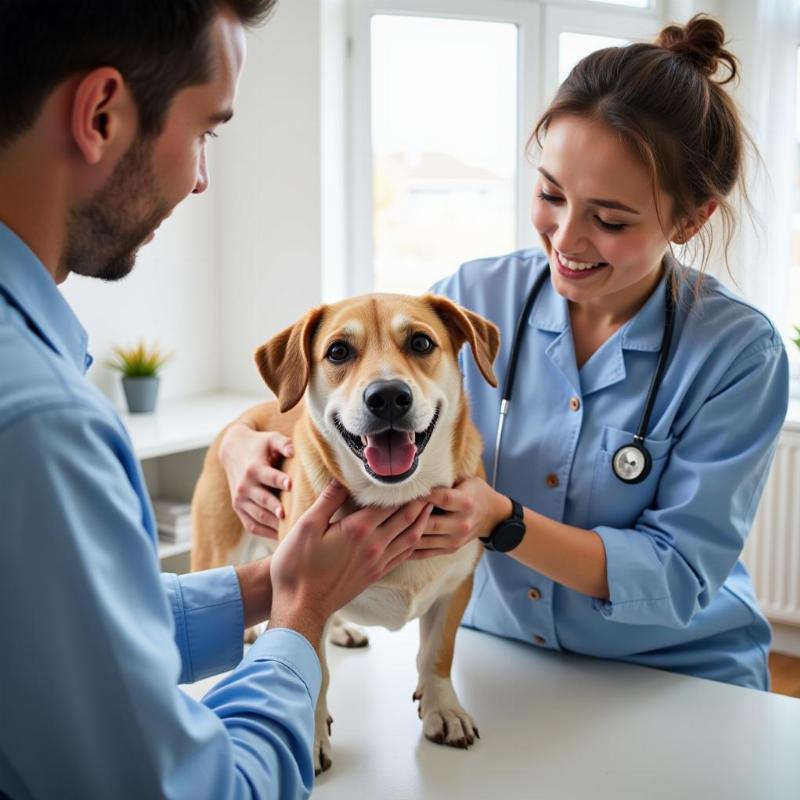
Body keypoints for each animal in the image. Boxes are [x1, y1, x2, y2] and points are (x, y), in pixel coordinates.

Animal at [190, 290, 496, 772]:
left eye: (421, 343)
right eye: (338, 351)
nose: (387, 396)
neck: (393, 497)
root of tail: (242, 415)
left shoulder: (455, 587)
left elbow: (436, 654)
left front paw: (442, 708)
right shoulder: (303, 590)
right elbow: (314, 668)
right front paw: (309, 735)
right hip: (217, 547)